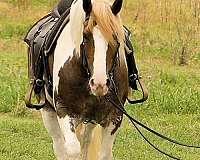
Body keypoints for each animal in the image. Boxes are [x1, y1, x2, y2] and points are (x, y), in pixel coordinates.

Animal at [34, 0, 128, 159]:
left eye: (115, 36)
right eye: (85, 35)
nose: (99, 84)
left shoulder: (114, 116)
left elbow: (104, 153)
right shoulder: (63, 110)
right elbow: (72, 149)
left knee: (86, 138)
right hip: (48, 110)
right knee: (59, 143)